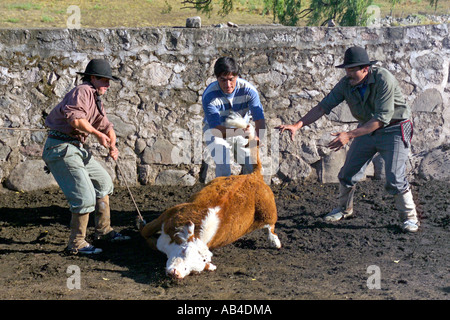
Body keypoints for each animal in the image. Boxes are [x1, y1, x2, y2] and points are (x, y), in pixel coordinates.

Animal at [141, 114, 282, 278]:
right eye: (184, 251)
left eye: (192, 270)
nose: (176, 273)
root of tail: (254, 176)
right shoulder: (167, 214)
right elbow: (146, 231)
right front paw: (140, 223)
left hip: (268, 212)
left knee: (270, 227)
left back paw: (274, 242)